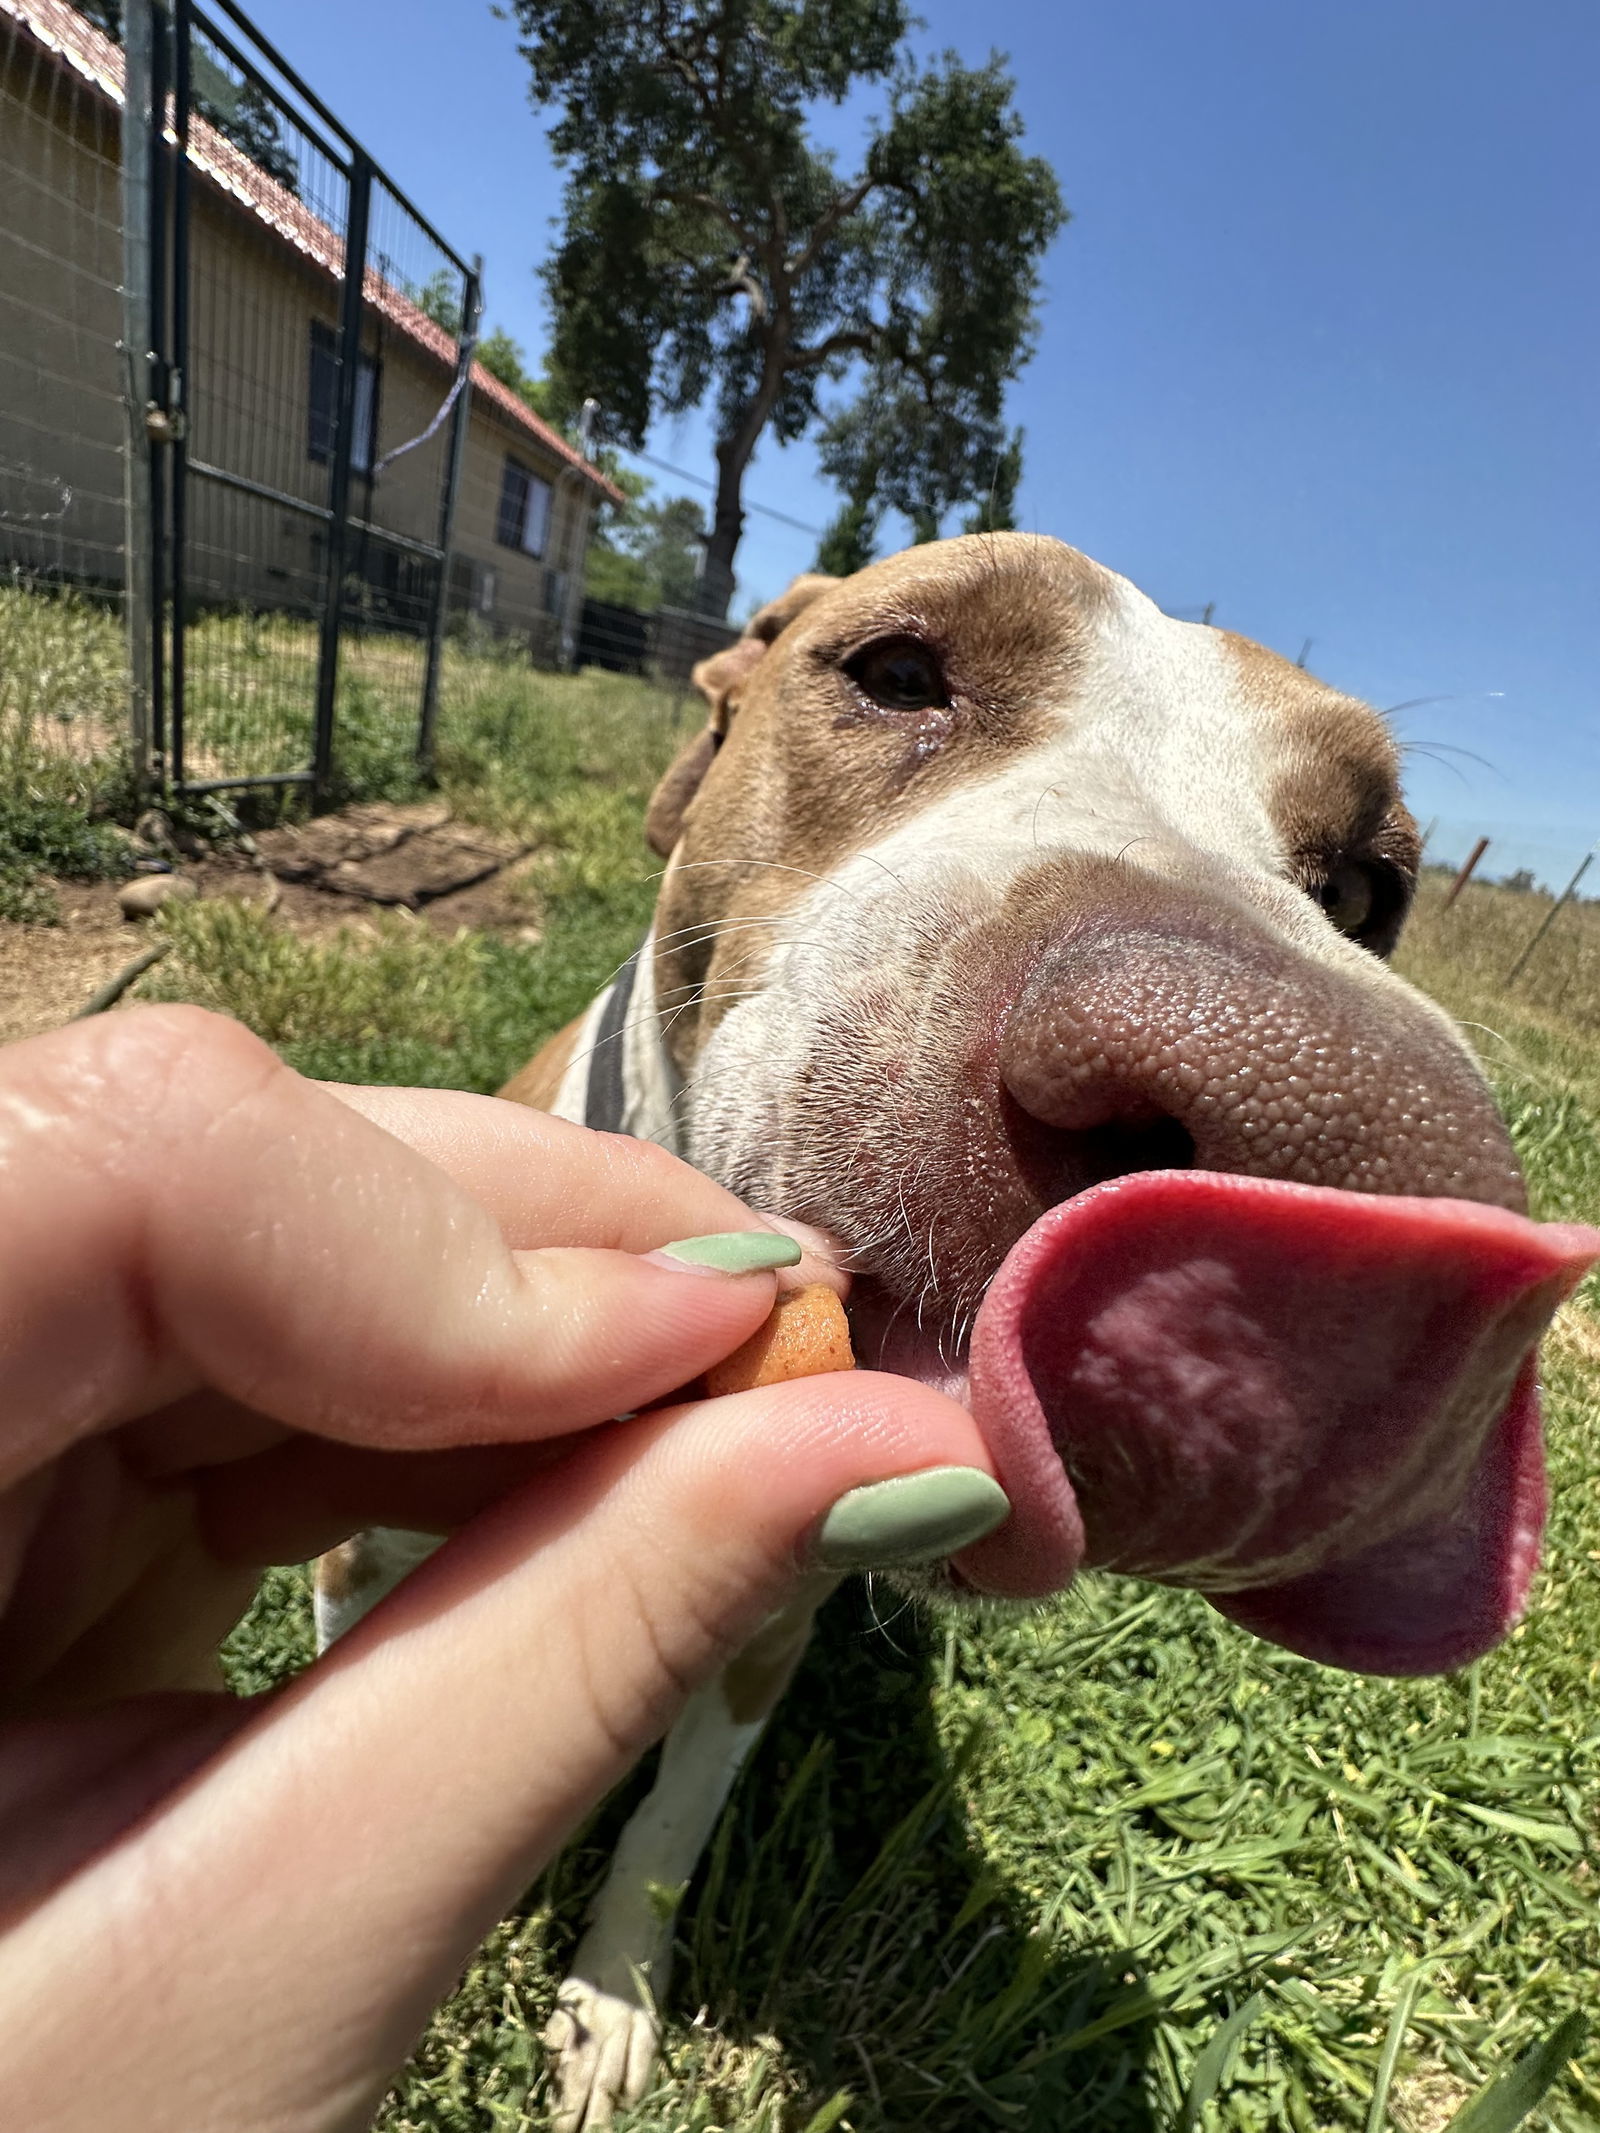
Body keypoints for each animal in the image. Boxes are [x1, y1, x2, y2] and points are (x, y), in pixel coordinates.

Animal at [320, 524, 1595, 2124]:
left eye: (1368, 887)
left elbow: (669, 1832)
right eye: (898, 669)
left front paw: (614, 1994)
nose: (1327, 1132)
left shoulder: (764, 1625)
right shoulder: (361, 1555)